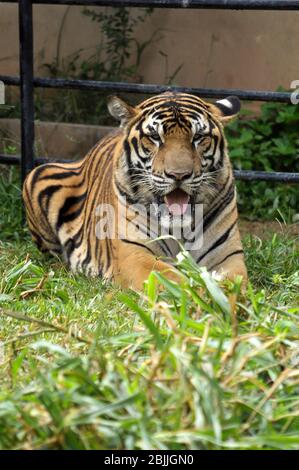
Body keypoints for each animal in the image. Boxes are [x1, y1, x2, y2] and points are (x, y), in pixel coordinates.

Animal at [22, 92, 248, 290]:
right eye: (155, 137)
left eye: (199, 136)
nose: (179, 175)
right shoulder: (136, 256)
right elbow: (175, 281)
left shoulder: (228, 257)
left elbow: (232, 286)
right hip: (37, 174)